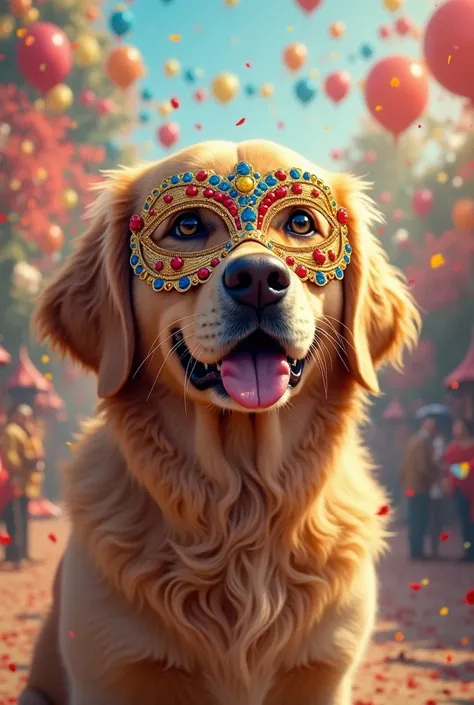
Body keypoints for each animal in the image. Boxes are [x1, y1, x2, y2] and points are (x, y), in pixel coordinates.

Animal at [19, 139, 418, 704]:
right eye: (187, 226)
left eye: (301, 222)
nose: (259, 281)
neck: (241, 501)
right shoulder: (111, 671)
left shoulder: (323, 674)